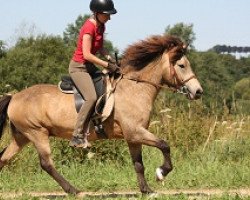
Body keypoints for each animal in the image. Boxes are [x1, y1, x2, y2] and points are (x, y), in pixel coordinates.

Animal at [0, 35, 203, 195]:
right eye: (182, 65)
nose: (198, 91)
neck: (135, 88)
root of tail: (14, 96)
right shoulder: (135, 132)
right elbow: (164, 145)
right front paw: (161, 173)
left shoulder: (133, 137)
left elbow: (138, 164)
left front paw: (146, 190)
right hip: (37, 133)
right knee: (46, 164)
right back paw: (73, 190)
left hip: (22, 137)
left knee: (3, 158)